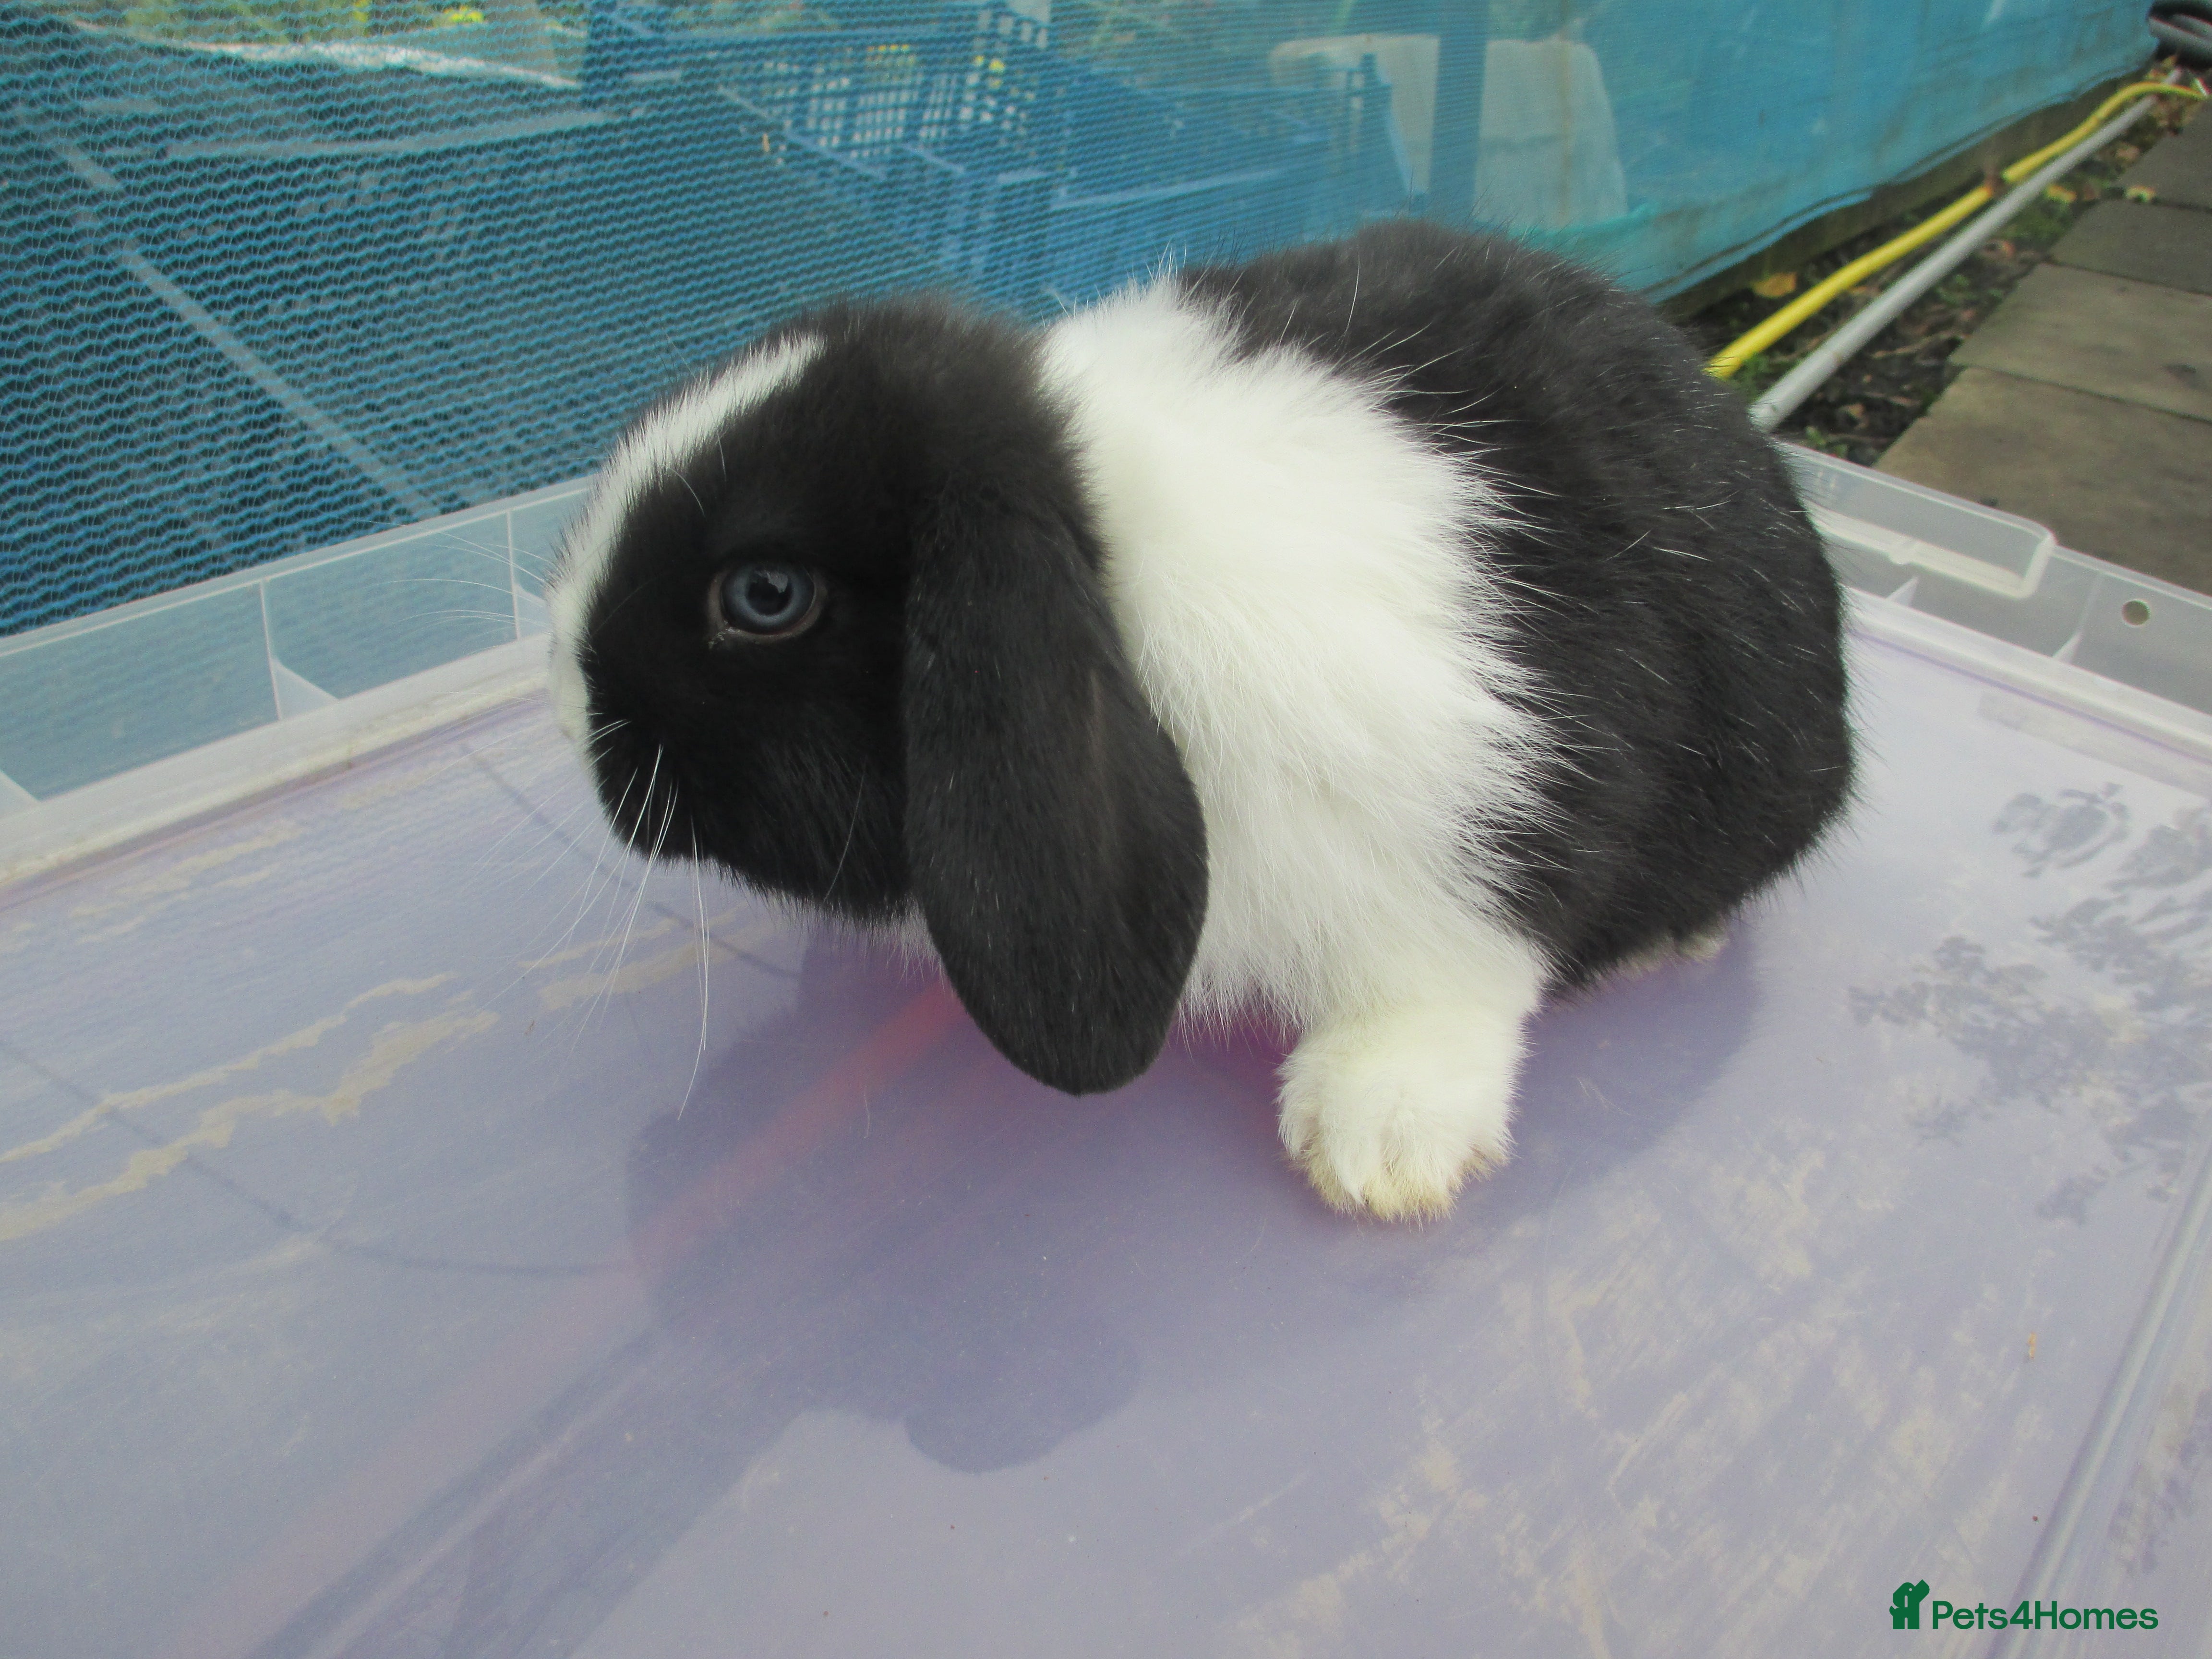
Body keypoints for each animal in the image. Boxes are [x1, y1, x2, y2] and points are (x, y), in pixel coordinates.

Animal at [545, 218, 1853, 1221]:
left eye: (764, 596)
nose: (565, 703)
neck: (1109, 547)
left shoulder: (1486, 823)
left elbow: (1453, 975)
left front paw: (1372, 1144)